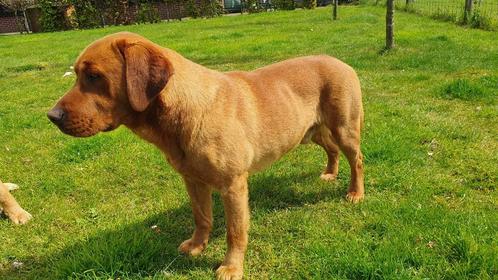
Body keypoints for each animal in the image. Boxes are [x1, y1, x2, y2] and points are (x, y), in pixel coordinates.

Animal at [48, 32, 364, 280]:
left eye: (94, 76)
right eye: (77, 75)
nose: (52, 116)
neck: (182, 112)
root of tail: (342, 62)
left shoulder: (233, 185)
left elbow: (235, 231)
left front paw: (232, 267)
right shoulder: (192, 179)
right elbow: (202, 218)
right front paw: (197, 246)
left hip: (344, 127)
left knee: (357, 160)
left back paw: (355, 193)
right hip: (312, 131)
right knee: (332, 150)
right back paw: (330, 173)